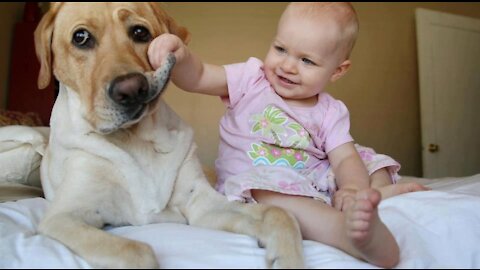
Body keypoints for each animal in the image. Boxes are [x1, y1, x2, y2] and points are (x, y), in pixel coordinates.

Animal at [33, 2, 304, 270]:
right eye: (80, 37)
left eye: (140, 32)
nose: (132, 89)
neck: (135, 137)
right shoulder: (62, 217)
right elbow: (137, 251)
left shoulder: (202, 203)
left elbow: (278, 213)